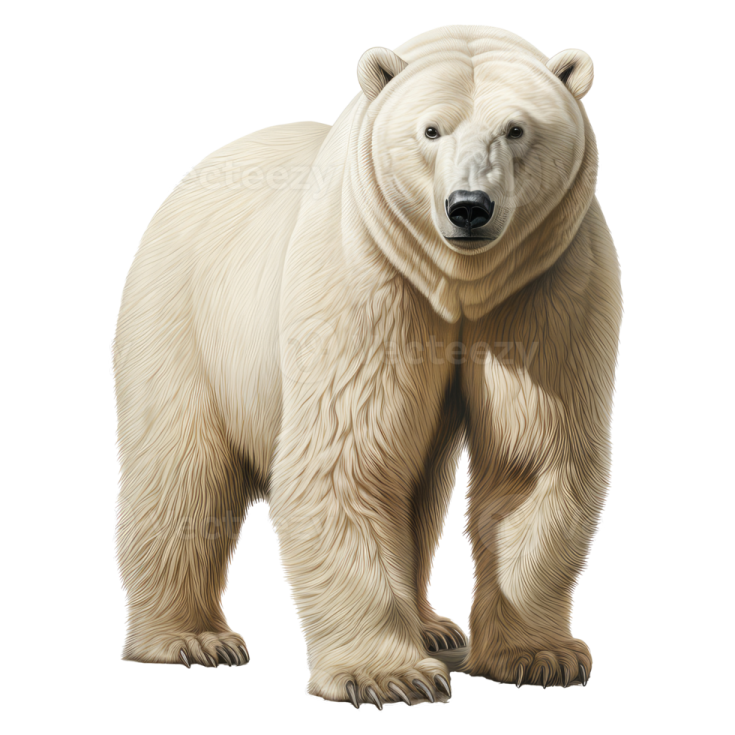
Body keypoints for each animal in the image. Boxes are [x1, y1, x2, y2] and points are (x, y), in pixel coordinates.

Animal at [112, 23, 623, 708]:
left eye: (516, 128)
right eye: (431, 130)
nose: (469, 207)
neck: (458, 282)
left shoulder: (544, 283)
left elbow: (532, 457)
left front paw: (539, 656)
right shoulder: (366, 273)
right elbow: (347, 453)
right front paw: (388, 675)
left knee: (420, 487)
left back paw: (433, 626)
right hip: (184, 318)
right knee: (183, 469)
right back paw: (190, 639)